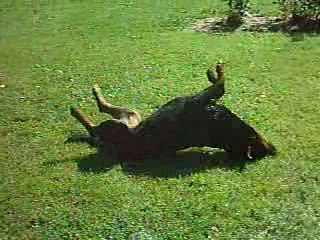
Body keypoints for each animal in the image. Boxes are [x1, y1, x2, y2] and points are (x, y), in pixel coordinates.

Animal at [67, 64, 276, 161]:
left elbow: (221, 84)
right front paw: (214, 72)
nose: (272, 148)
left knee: (93, 126)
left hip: (117, 126)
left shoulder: (199, 100)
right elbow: (218, 82)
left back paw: (76, 110)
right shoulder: (204, 99)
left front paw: (217, 71)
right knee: (102, 109)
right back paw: (94, 94)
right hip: (131, 115)